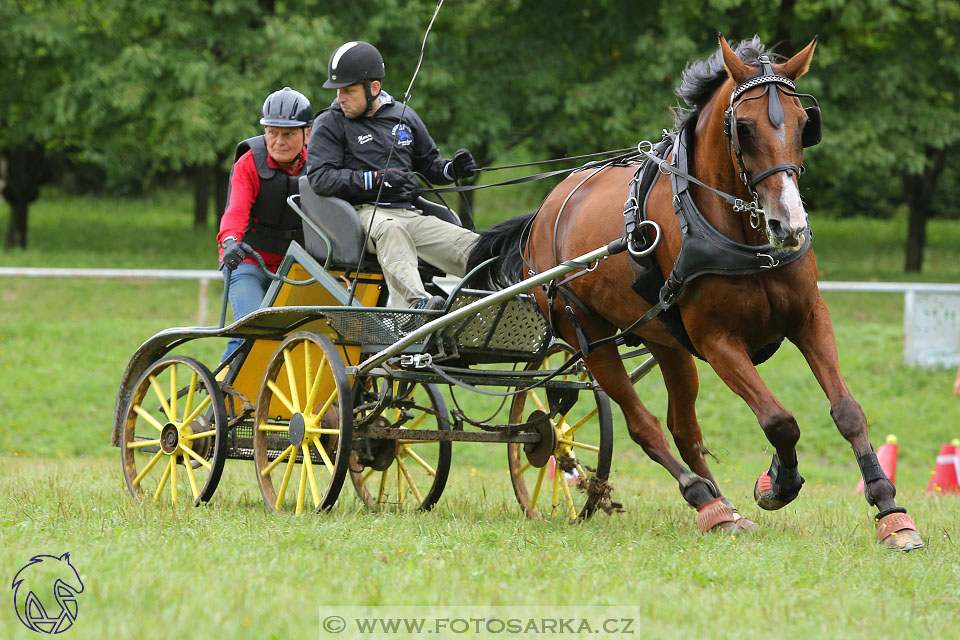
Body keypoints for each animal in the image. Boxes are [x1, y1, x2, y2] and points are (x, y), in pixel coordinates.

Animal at [470, 32, 924, 548]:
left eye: (805, 123)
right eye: (744, 128)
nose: (788, 225)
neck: (745, 238)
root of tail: (543, 214)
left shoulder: (809, 318)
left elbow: (847, 411)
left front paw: (890, 510)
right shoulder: (717, 341)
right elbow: (779, 421)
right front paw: (776, 483)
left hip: (666, 342)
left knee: (683, 427)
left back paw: (722, 507)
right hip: (590, 336)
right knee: (644, 426)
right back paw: (704, 499)